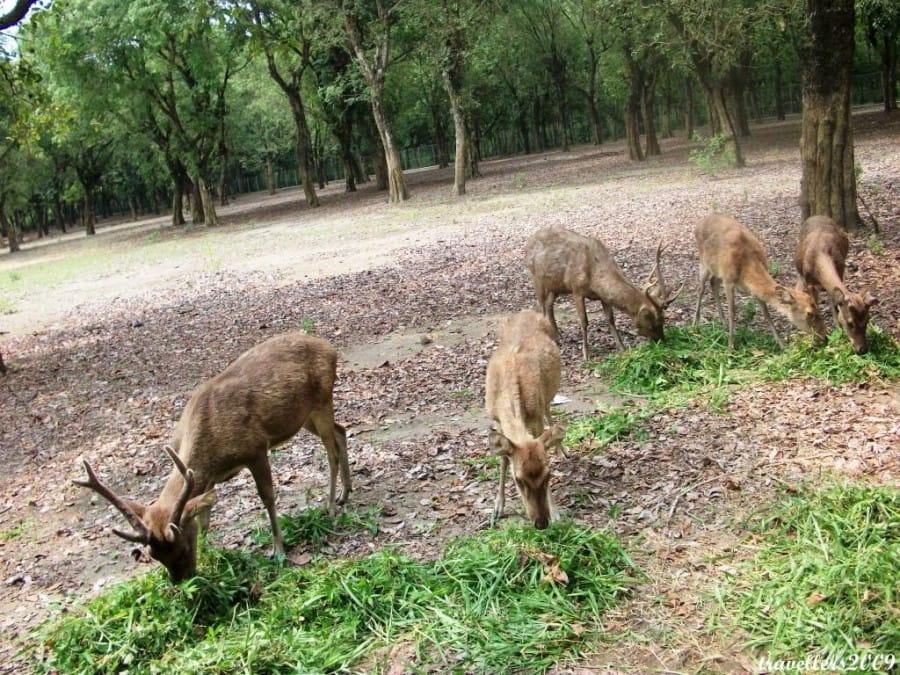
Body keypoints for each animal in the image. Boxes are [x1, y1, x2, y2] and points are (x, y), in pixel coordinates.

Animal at [74, 332, 352, 580]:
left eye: (183, 547)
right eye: (154, 556)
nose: (183, 582)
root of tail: (330, 349)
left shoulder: (255, 448)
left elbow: (267, 497)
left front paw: (279, 550)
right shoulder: (208, 479)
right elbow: (205, 516)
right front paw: (212, 554)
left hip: (322, 399)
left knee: (331, 450)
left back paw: (330, 505)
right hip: (303, 416)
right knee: (341, 432)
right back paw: (344, 493)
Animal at [486, 308, 564, 532]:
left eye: (548, 474)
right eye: (518, 479)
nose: (541, 523)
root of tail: (528, 311)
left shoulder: (535, 419)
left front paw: (556, 513)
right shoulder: (496, 420)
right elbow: (504, 459)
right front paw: (497, 509)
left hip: (547, 395)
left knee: (549, 413)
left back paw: (561, 448)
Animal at [524, 226, 680, 360]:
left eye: (664, 321)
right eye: (653, 324)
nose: (663, 341)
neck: (595, 278)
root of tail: (529, 241)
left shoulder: (603, 297)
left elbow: (611, 320)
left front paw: (622, 348)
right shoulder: (576, 289)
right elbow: (584, 321)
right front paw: (586, 354)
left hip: (556, 285)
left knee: (549, 305)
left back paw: (558, 335)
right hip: (536, 277)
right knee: (542, 307)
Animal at [692, 214, 828, 348]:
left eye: (818, 307)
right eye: (809, 313)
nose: (824, 335)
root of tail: (699, 223)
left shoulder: (753, 289)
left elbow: (766, 314)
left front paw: (782, 345)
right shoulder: (728, 280)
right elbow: (732, 312)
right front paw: (731, 346)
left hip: (716, 269)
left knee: (713, 282)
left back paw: (723, 323)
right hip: (703, 261)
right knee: (701, 288)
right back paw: (695, 324)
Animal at [800, 217, 876, 356]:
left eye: (867, 319)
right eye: (850, 323)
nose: (862, 349)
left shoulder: (840, 271)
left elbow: (834, 305)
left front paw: (838, 331)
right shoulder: (809, 283)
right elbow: (815, 308)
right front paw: (821, 338)